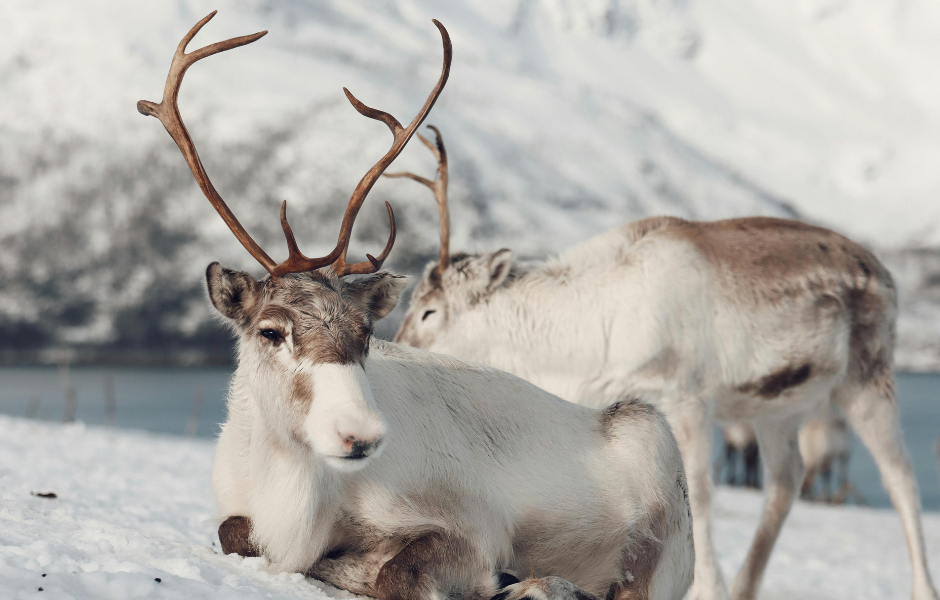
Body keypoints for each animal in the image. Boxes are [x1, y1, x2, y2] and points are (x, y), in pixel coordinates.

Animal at [137, 13, 695, 600]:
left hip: (652, 472)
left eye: (365, 332)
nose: (360, 434)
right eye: (271, 331)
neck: (295, 494)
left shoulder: (473, 529)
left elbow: (395, 570)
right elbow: (233, 533)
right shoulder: (242, 512)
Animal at [389, 128, 940, 600]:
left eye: (430, 311)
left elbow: (702, 492)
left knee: (901, 479)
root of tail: (885, 272)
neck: (588, 336)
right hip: (776, 408)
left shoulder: (685, 393)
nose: (395, 343)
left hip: (868, 377)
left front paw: (709, 588)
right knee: (786, 481)